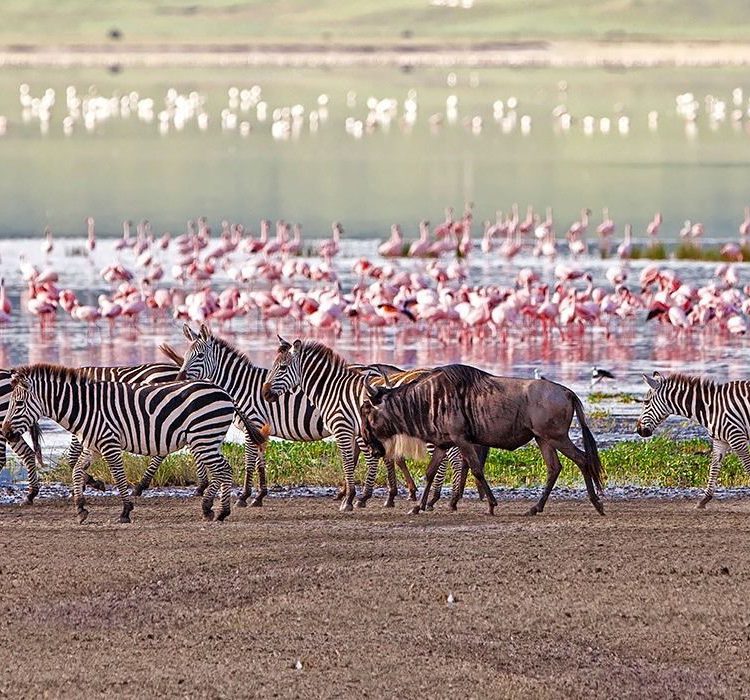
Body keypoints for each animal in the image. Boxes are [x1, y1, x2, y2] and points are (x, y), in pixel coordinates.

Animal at [0, 364, 268, 524]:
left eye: (19, 404)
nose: (4, 431)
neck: (87, 407)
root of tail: (224, 392)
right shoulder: (92, 445)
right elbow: (76, 471)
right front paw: (80, 508)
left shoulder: (109, 443)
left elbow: (119, 477)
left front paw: (125, 511)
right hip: (206, 439)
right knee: (221, 470)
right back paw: (210, 508)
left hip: (204, 437)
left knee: (224, 470)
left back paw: (220, 511)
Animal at [162, 322, 426, 508]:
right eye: (186, 355)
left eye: (198, 356)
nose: (179, 378)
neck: (241, 386)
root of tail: (379, 370)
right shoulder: (260, 428)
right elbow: (260, 462)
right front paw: (259, 496)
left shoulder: (253, 422)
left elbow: (249, 462)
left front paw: (245, 496)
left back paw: (380, 496)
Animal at [260, 336, 482, 512]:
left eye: (282, 368)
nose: (265, 393)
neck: (332, 390)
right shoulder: (355, 431)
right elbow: (363, 459)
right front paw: (357, 496)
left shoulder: (342, 429)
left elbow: (349, 461)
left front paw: (350, 499)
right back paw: (443, 499)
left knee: (452, 457)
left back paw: (446, 500)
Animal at [636, 372, 750, 508]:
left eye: (646, 402)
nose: (638, 430)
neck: (711, 408)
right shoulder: (720, 440)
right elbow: (714, 468)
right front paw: (704, 500)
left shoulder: (736, 438)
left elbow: (747, 465)